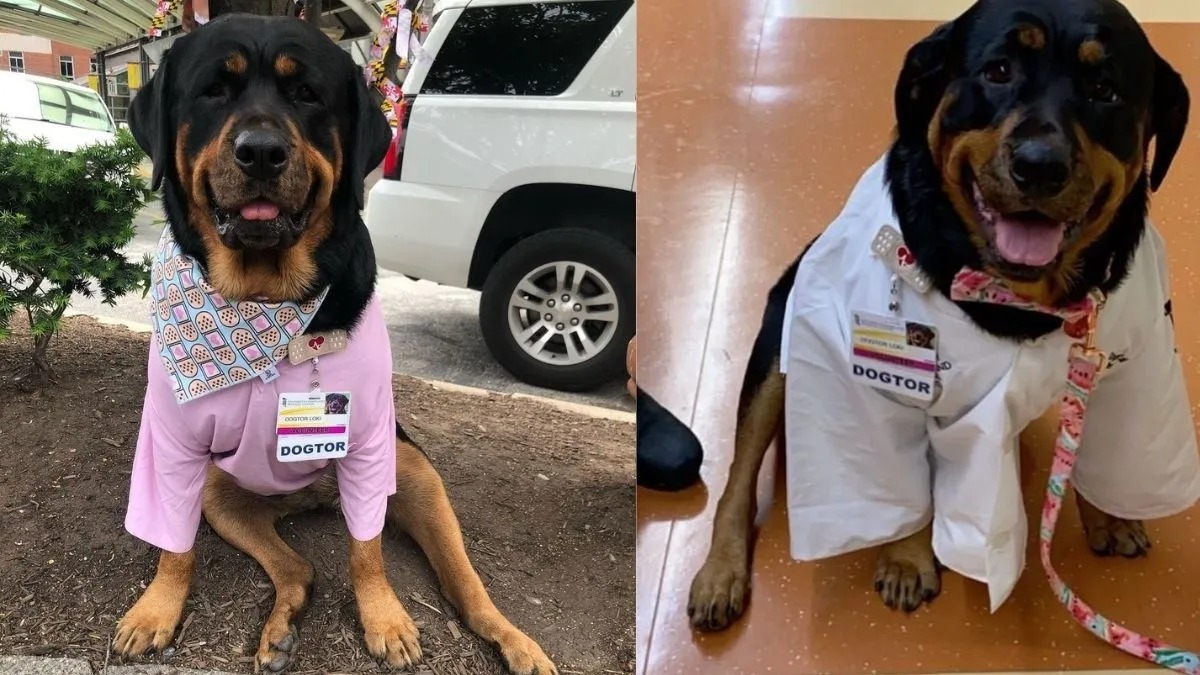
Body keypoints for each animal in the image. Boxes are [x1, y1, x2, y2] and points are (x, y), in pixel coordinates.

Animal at [112, 15, 556, 672]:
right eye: (214, 90)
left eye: (307, 95)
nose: (262, 151)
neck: (263, 301)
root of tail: (311, 498)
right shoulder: (171, 443)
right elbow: (175, 545)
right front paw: (157, 609)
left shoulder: (370, 442)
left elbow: (366, 551)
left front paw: (385, 617)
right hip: (222, 495)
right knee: (300, 569)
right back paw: (279, 631)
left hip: (415, 471)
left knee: (466, 586)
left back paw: (516, 641)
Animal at [686, 0, 1190, 629]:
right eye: (997, 71)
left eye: (1105, 90)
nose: (1040, 165)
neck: (1015, 296)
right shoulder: (882, 388)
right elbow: (900, 484)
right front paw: (906, 559)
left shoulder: (1134, 367)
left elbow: (1114, 448)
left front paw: (1110, 514)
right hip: (778, 340)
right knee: (737, 476)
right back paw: (720, 573)